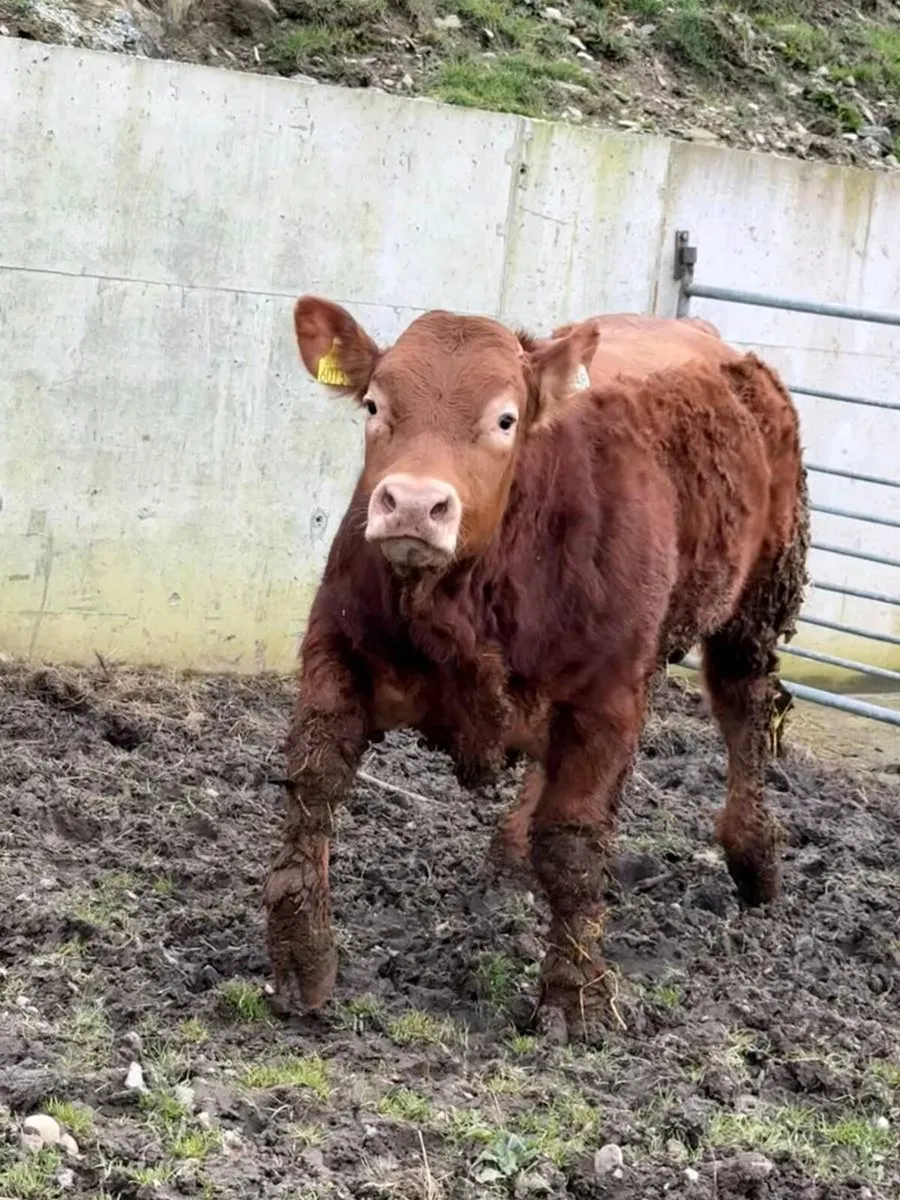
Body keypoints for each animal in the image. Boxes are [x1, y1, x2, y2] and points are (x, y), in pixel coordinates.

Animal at [263, 298, 809, 1034]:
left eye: (504, 418)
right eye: (375, 405)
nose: (413, 504)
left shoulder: (607, 694)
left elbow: (574, 841)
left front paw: (576, 995)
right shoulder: (336, 647)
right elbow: (314, 784)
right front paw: (301, 954)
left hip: (759, 596)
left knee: (742, 706)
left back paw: (754, 854)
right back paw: (511, 851)